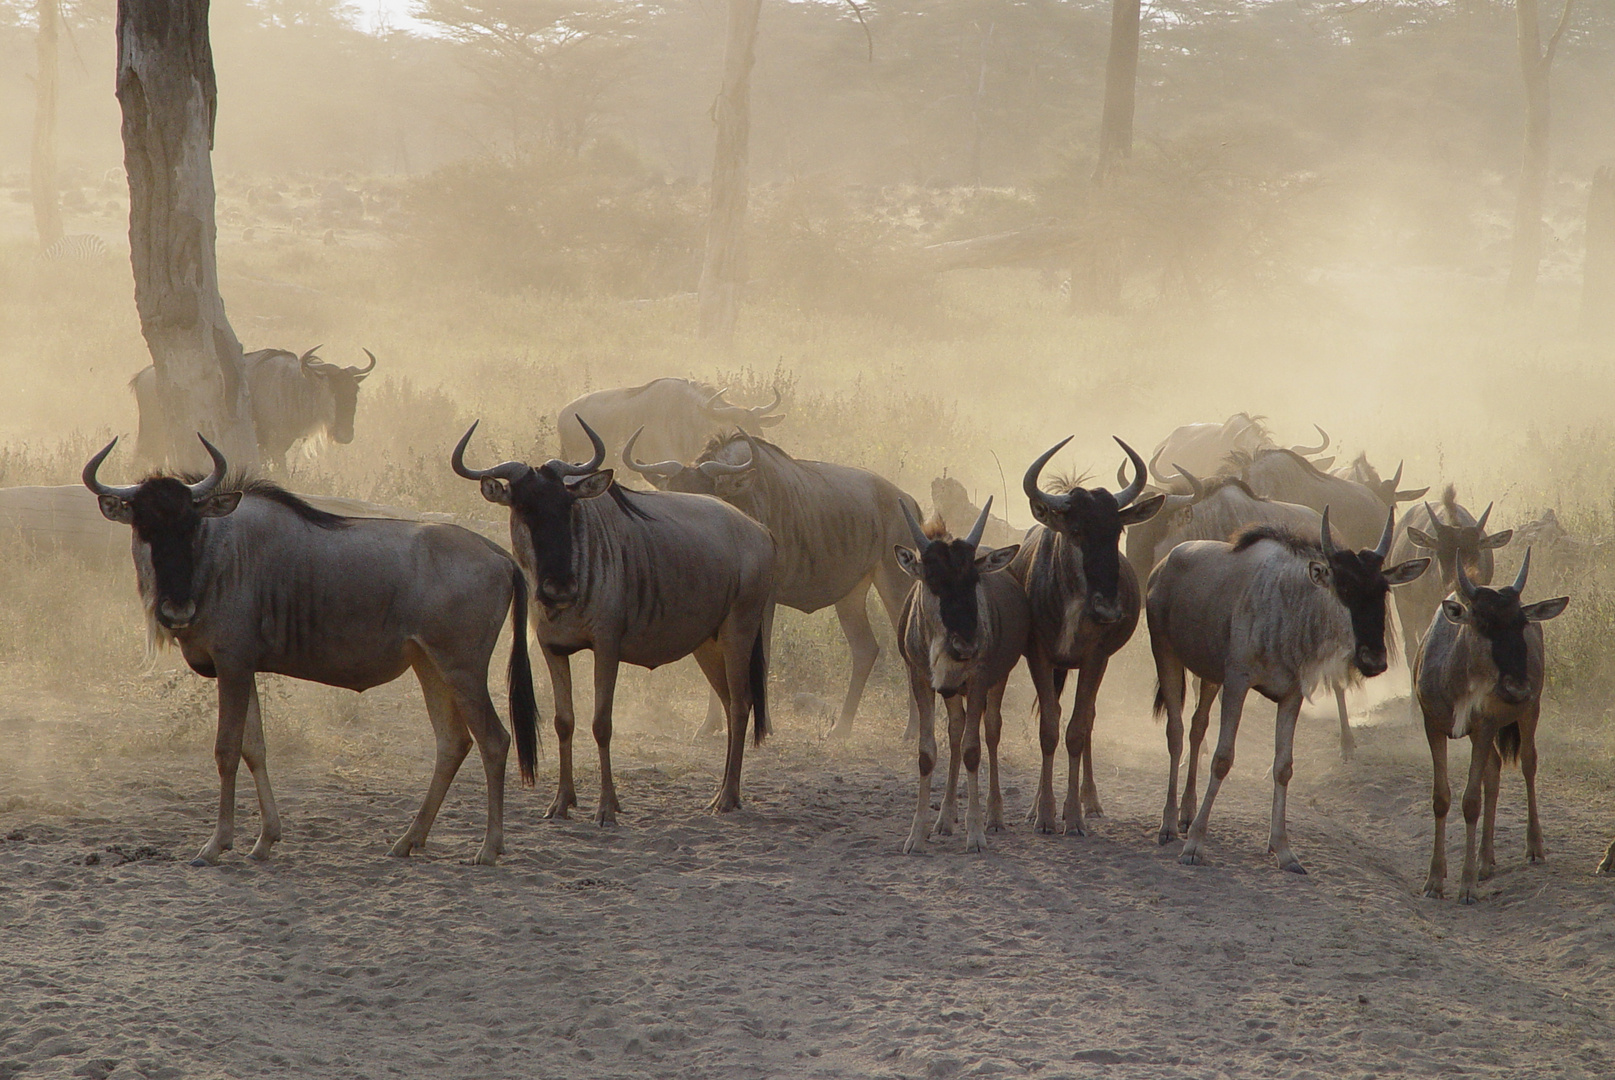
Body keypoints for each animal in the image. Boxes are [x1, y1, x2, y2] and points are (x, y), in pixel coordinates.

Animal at [83, 432, 536, 865]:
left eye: (190, 526)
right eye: (144, 527)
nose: (177, 610)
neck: (219, 557)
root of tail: (500, 556)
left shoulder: (231, 665)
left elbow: (226, 750)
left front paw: (216, 845)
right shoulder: (244, 669)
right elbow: (255, 749)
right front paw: (265, 840)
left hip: (464, 671)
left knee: (494, 740)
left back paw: (489, 848)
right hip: (430, 666)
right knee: (453, 742)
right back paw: (409, 840)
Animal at [897, 497, 1020, 852]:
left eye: (973, 579)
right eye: (932, 579)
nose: (966, 644)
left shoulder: (979, 679)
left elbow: (973, 750)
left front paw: (976, 833)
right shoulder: (920, 679)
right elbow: (927, 753)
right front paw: (916, 834)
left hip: (996, 681)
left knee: (990, 730)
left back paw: (994, 815)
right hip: (951, 690)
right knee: (955, 729)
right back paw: (945, 818)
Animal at [1149, 510, 1427, 871]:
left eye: (1382, 591)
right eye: (1344, 587)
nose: (1374, 660)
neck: (1289, 606)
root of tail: (1164, 565)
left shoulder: (1290, 695)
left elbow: (1283, 767)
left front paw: (1283, 849)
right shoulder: (1236, 684)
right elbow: (1223, 759)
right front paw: (1195, 844)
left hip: (1208, 675)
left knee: (1197, 728)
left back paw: (1186, 813)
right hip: (1165, 655)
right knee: (1176, 732)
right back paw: (1169, 824)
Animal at [1421, 548, 1569, 904]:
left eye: (1521, 623)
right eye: (1483, 622)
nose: (1517, 688)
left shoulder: (1483, 727)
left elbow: (1470, 801)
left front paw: (1467, 886)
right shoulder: (1433, 726)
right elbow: (1441, 798)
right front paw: (1434, 880)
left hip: (1529, 713)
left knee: (1527, 764)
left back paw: (1533, 848)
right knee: (1494, 771)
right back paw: (1485, 861)